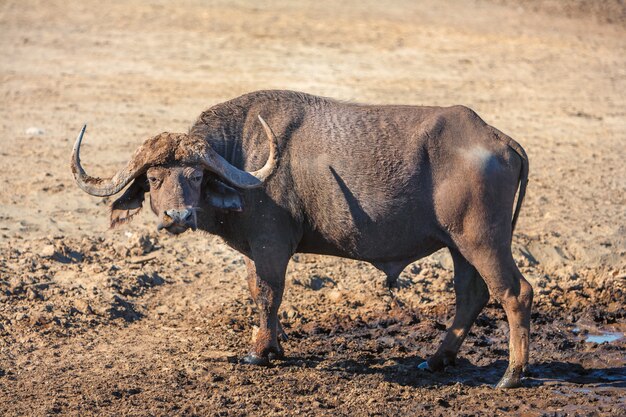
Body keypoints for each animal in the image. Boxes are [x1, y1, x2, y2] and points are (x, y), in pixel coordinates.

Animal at [70, 90, 528, 386]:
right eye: (153, 178)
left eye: (196, 175)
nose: (177, 215)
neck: (244, 156)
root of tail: (500, 139)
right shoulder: (255, 250)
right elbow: (258, 292)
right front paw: (272, 345)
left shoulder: (271, 245)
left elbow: (268, 293)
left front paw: (259, 352)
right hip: (459, 246)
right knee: (472, 296)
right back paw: (435, 361)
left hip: (482, 241)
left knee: (515, 292)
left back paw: (511, 375)